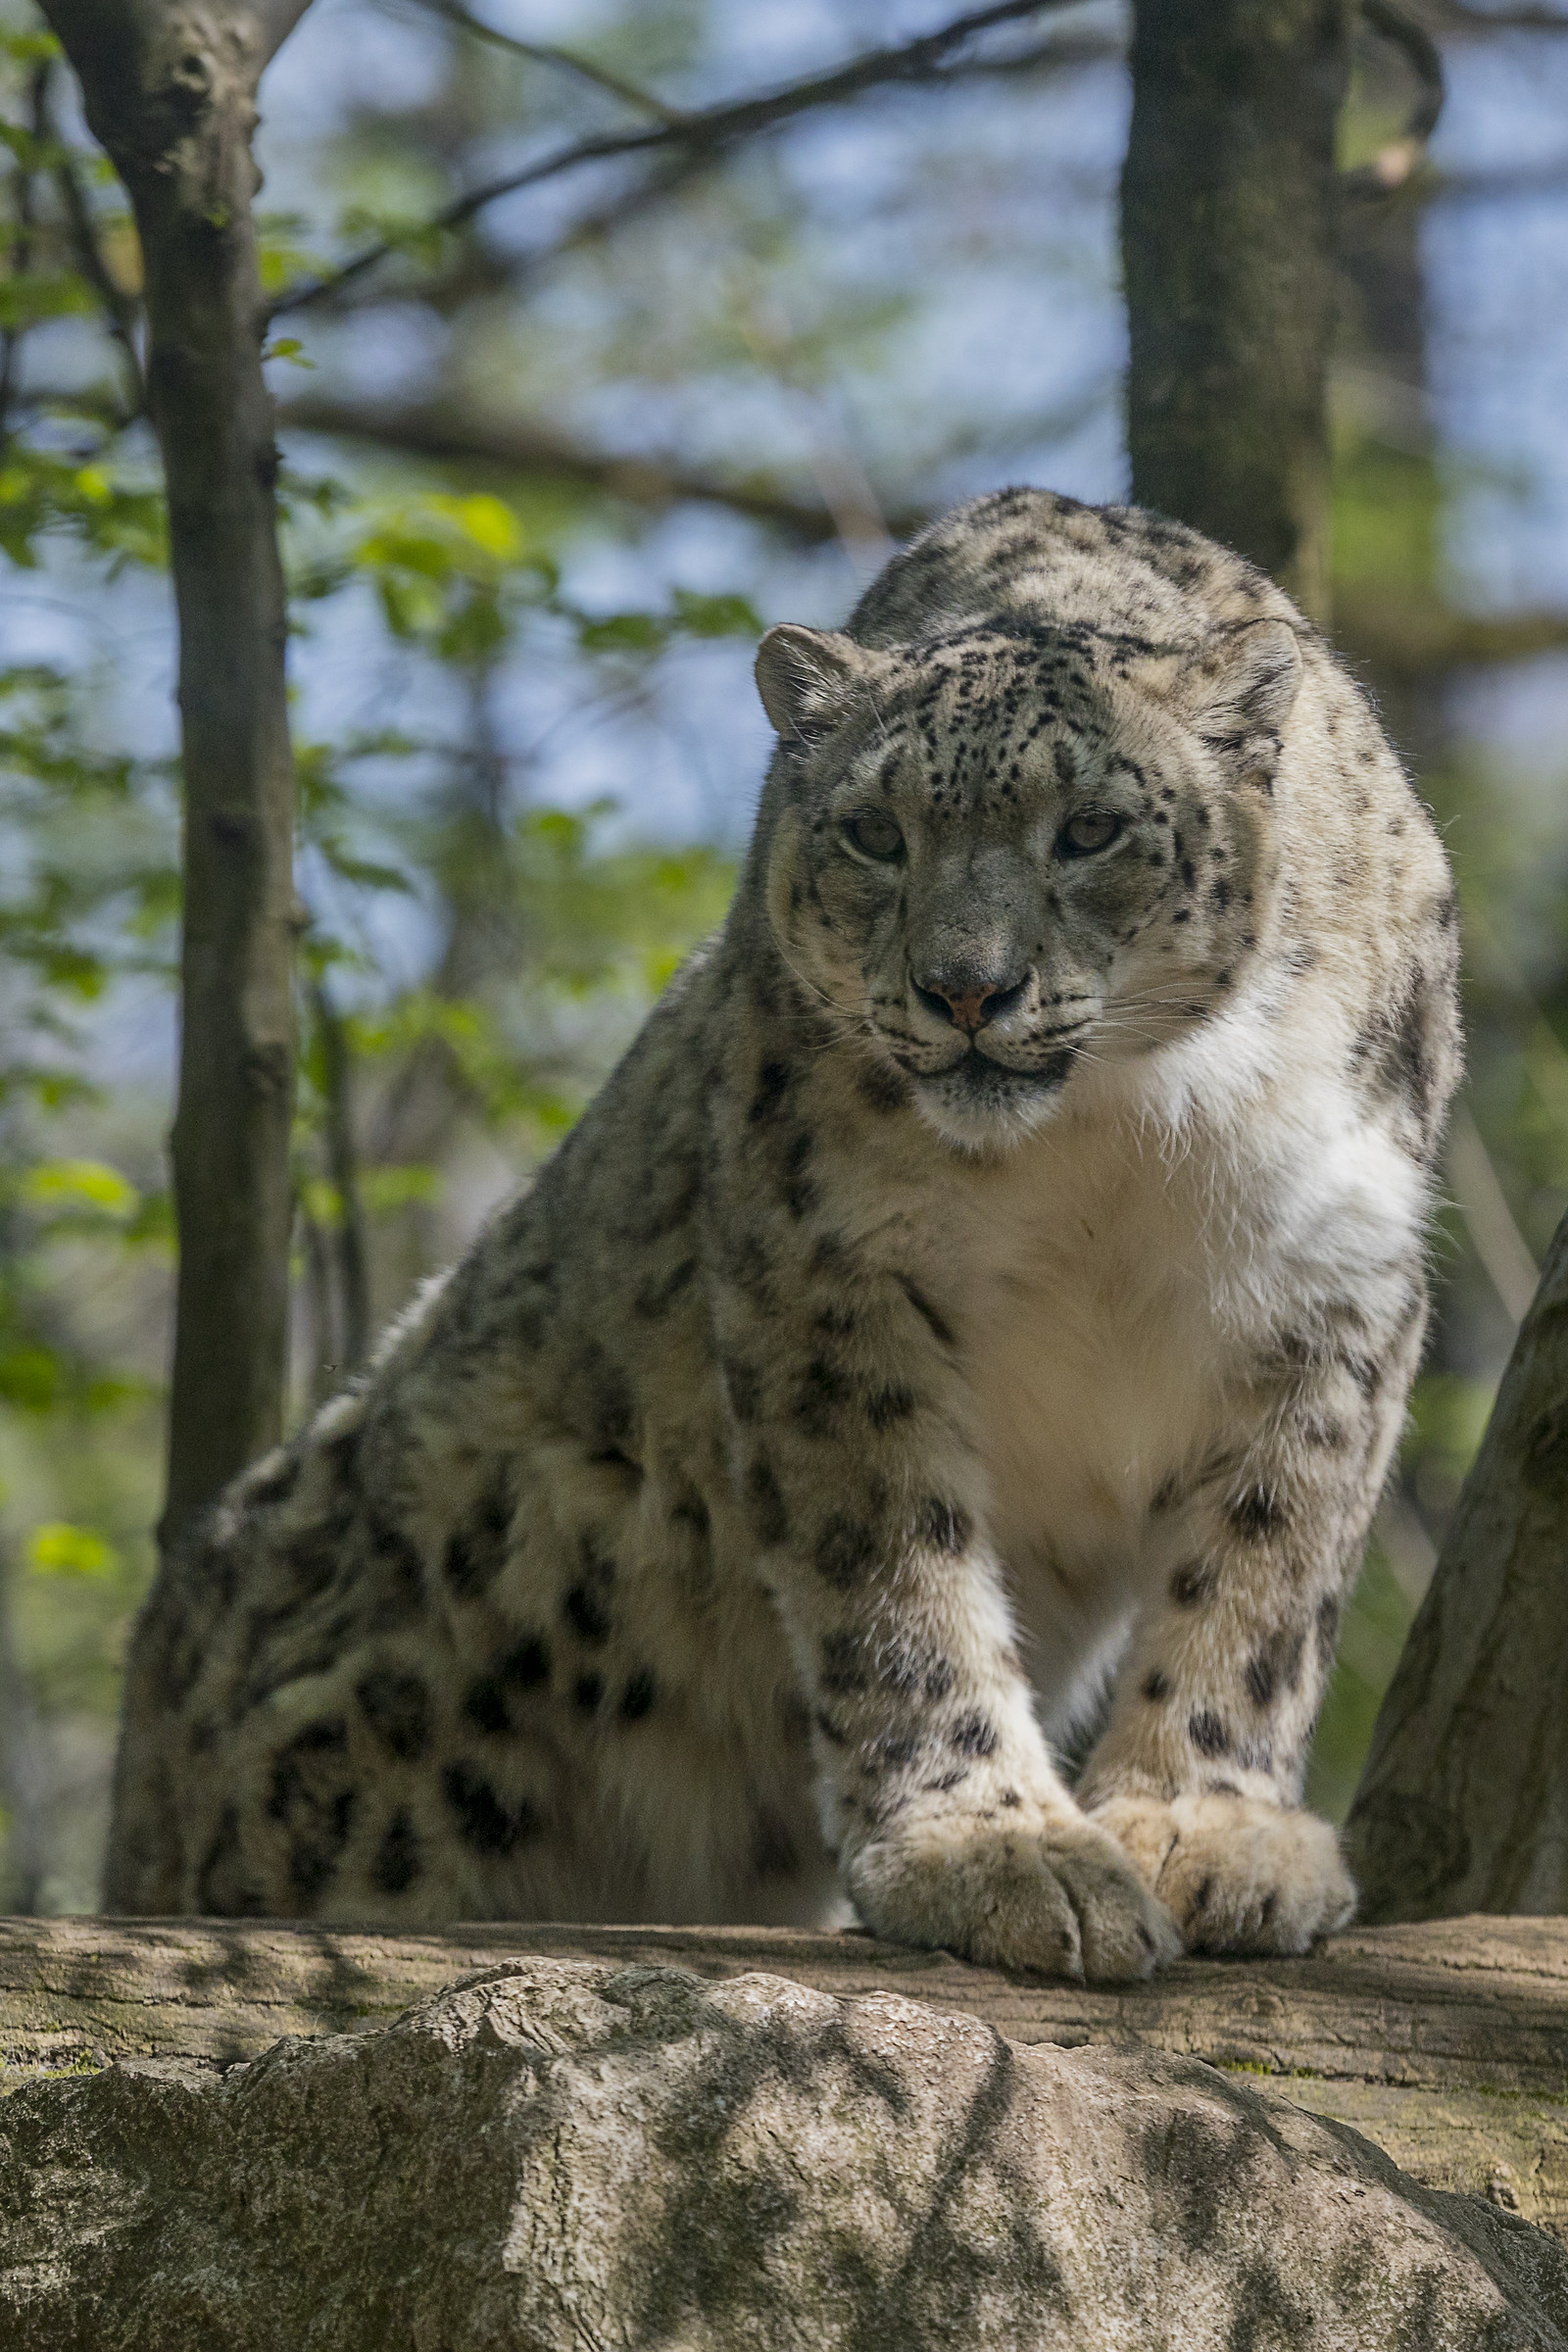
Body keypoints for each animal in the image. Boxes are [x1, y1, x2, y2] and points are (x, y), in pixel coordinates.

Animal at [105, 487, 1461, 1981]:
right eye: (873, 833)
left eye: (1091, 829)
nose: (965, 988)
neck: (1114, 1144)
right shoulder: (825, 1276)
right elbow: (898, 1579)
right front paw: (999, 1855)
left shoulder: (1331, 1289)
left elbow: (1265, 1574)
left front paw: (1206, 1829)